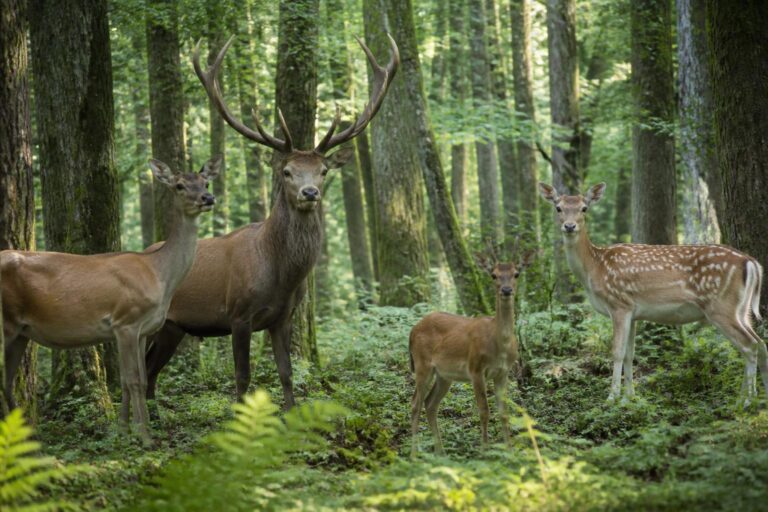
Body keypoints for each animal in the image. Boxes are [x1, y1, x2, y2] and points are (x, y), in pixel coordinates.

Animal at [1, 157, 220, 443]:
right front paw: (145, 436)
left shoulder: (141, 329)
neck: (159, 275)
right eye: (179, 185)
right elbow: (134, 380)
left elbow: (132, 380)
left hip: (20, 332)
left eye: (206, 182)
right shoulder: (126, 320)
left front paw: (124, 432)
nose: (208, 198)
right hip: (6, 324)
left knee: (6, 382)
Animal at [143, 34, 399, 410]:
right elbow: (242, 377)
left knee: (150, 370)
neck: (281, 275)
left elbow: (286, 371)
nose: (310, 192)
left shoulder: (283, 317)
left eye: (323, 170)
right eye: (287, 171)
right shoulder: (237, 314)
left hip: (173, 327)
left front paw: (290, 412)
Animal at [408, 254, 530, 457]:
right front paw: (484, 451)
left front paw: (509, 451)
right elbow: (484, 410)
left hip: (444, 375)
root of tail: (412, 331)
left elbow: (504, 412)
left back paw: (440, 452)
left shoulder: (503, 373)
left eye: (516, 274)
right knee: (415, 404)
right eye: (493, 275)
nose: (506, 290)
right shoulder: (475, 368)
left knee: (430, 403)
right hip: (421, 364)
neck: (499, 344)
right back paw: (414, 454)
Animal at [538, 182, 767, 406]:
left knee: (749, 345)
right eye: (558, 207)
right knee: (761, 343)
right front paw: (630, 397)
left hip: (721, 306)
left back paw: (747, 401)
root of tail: (751, 262)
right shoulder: (633, 312)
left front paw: (612, 398)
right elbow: (630, 354)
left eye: (584, 208)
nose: (569, 226)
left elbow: (617, 352)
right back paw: (755, 397)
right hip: (741, 310)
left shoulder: (619, 304)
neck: (594, 267)